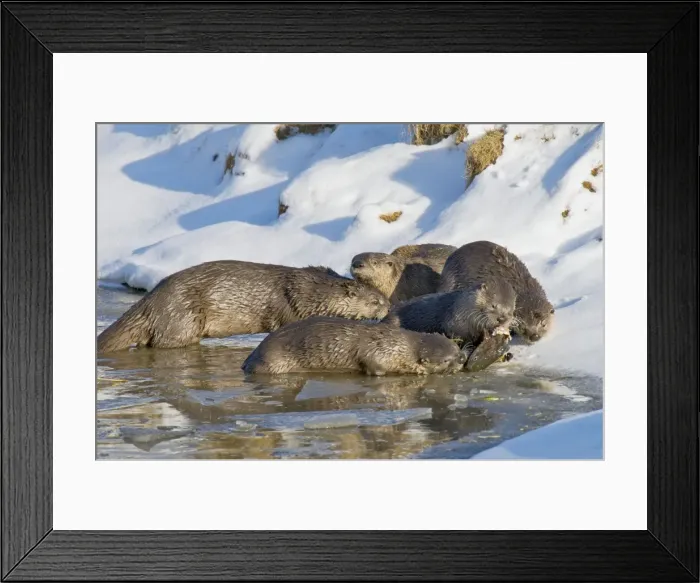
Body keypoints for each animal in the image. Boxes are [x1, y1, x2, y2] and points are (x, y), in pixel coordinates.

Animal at [97, 260, 390, 353]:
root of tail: (152, 299)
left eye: (383, 297)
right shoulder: (292, 308)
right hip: (182, 318)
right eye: (375, 301)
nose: (388, 308)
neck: (311, 292)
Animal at [241, 317, 466, 376]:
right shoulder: (376, 353)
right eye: (446, 360)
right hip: (272, 361)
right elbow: (374, 368)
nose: (462, 359)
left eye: (456, 348)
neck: (398, 346)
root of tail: (252, 356)